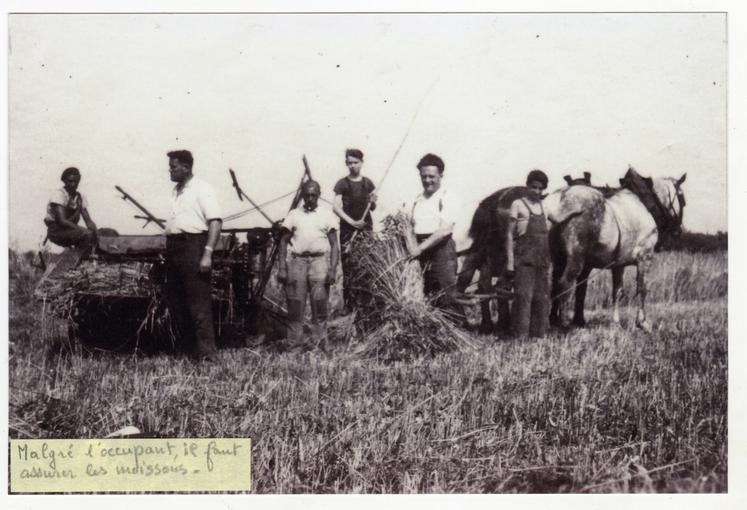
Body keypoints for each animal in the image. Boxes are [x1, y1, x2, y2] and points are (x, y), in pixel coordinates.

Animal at [544, 169, 688, 332]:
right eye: (683, 200)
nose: (678, 230)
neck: (646, 205)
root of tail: (560, 199)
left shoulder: (619, 264)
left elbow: (617, 292)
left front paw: (616, 322)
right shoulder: (645, 258)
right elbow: (642, 289)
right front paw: (642, 322)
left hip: (559, 258)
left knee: (555, 284)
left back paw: (554, 320)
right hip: (575, 259)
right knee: (565, 284)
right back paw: (564, 324)